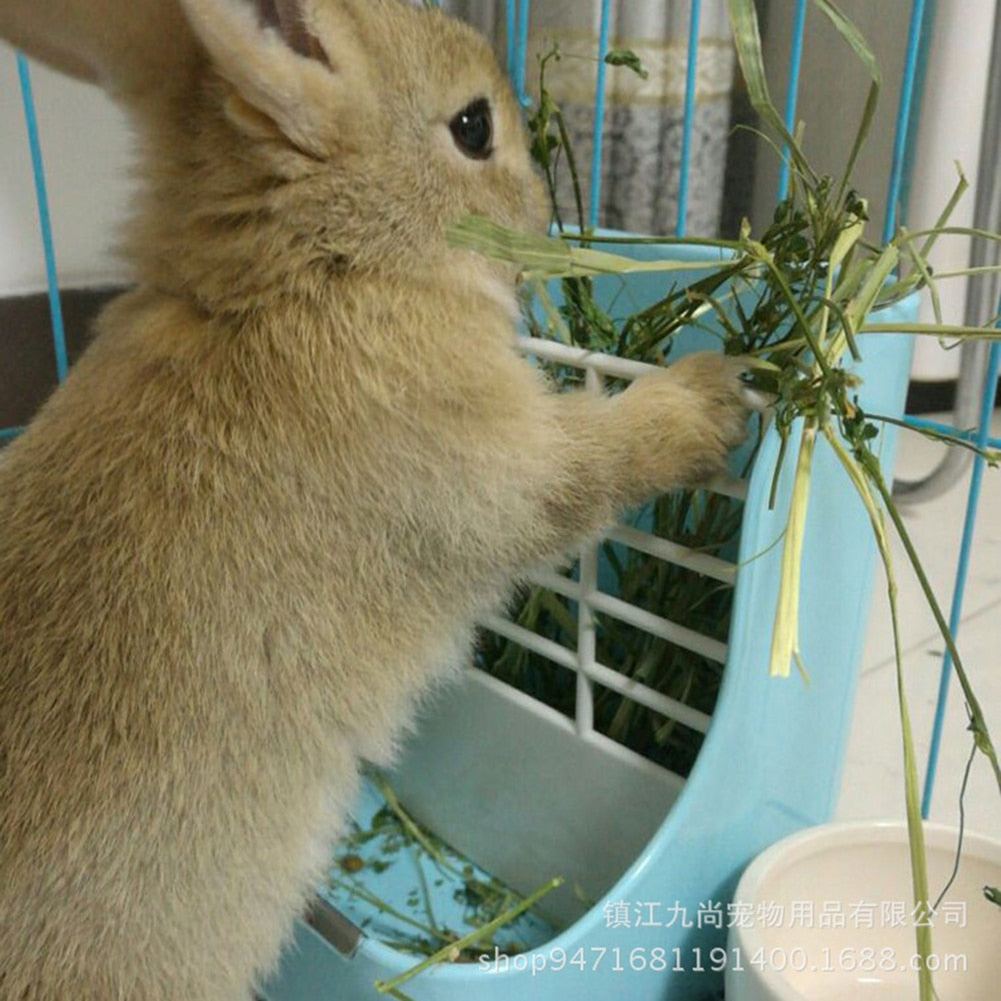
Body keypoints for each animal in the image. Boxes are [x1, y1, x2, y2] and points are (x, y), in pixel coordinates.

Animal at [0, 1, 752, 1001]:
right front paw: (713, 398)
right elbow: (592, 466)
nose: (538, 213)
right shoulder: (498, 461)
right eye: (472, 126)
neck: (311, 270)